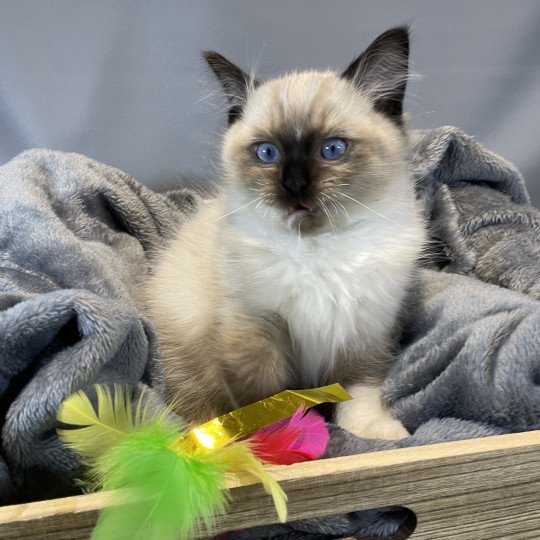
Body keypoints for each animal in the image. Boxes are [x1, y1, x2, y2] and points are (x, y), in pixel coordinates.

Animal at [147, 26, 426, 438]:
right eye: (268, 154)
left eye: (332, 149)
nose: (294, 185)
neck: (319, 247)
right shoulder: (257, 326)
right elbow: (265, 398)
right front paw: (275, 440)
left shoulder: (367, 327)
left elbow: (360, 388)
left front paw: (377, 433)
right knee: (195, 405)